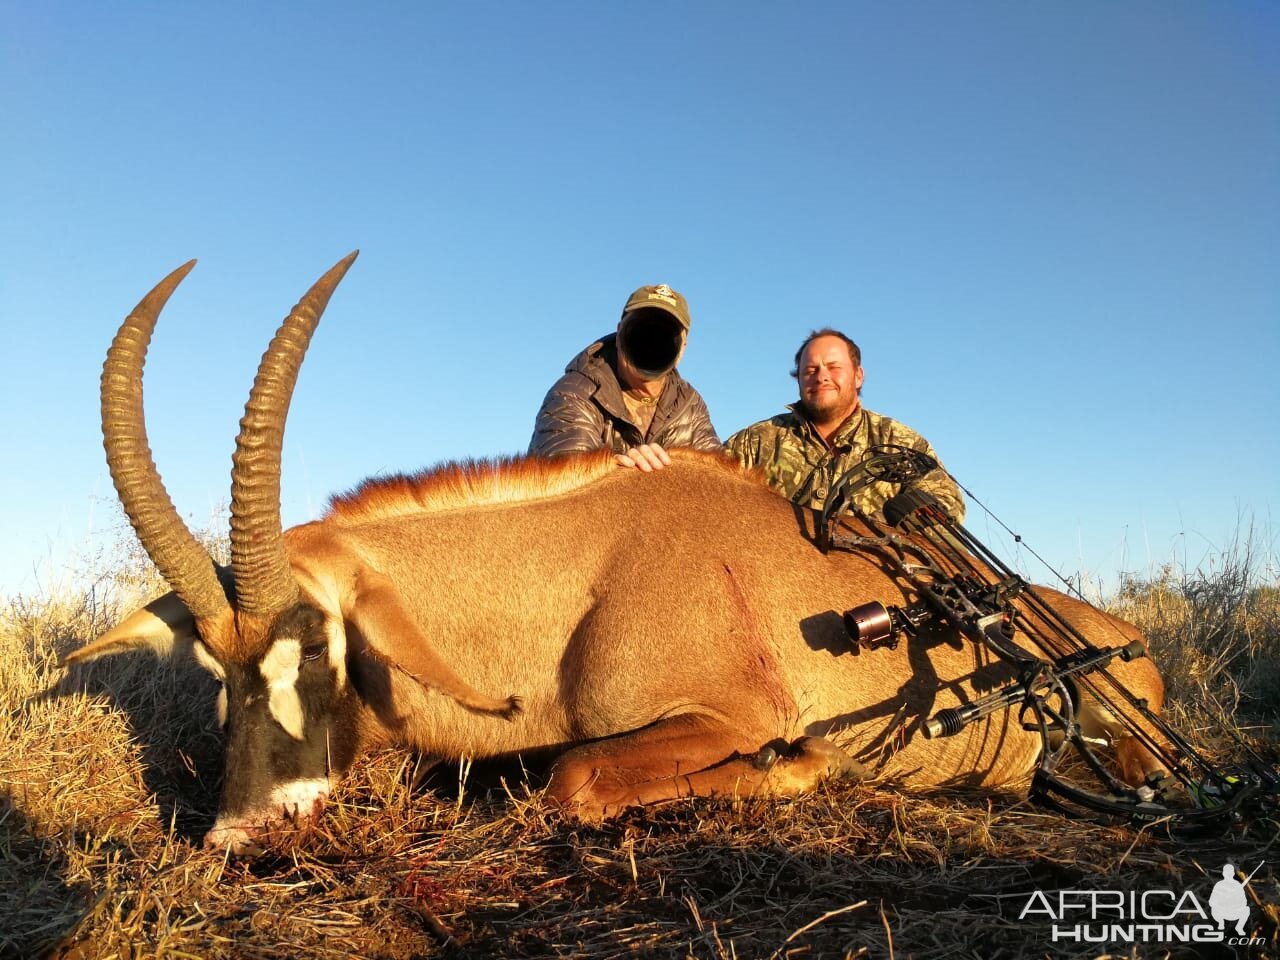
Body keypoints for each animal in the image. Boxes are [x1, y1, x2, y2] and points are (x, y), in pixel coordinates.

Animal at [67, 256, 1172, 855]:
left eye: (321, 648)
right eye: (218, 672)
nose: (241, 835)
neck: (577, 577)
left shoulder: (725, 713)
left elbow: (575, 780)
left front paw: (803, 768)